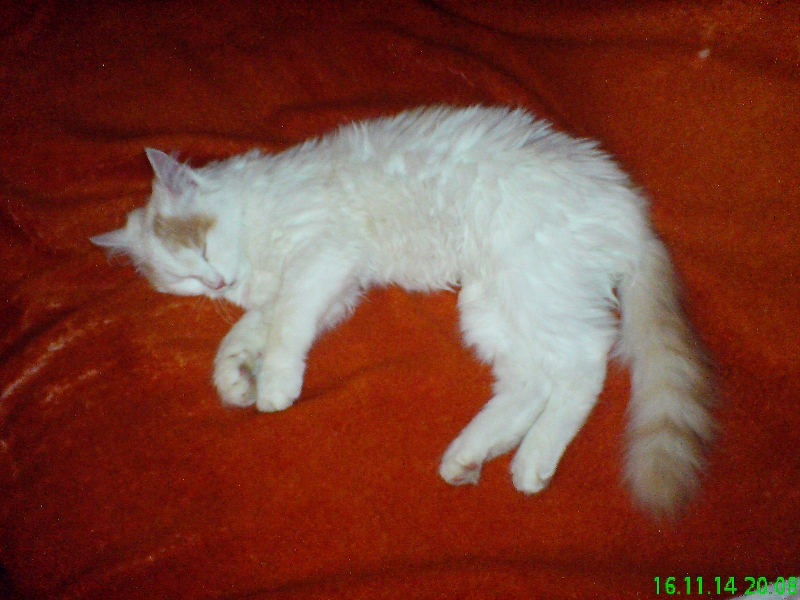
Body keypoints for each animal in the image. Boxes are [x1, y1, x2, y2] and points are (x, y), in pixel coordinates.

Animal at [92, 105, 714, 517]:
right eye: (182, 278)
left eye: (199, 247)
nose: (217, 282)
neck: (257, 217)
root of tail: (630, 210)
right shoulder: (335, 286)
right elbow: (248, 331)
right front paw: (234, 376)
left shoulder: (321, 257)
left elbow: (286, 325)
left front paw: (272, 387)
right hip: (491, 304)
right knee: (533, 380)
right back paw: (471, 455)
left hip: (532, 282)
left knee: (584, 364)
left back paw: (533, 458)